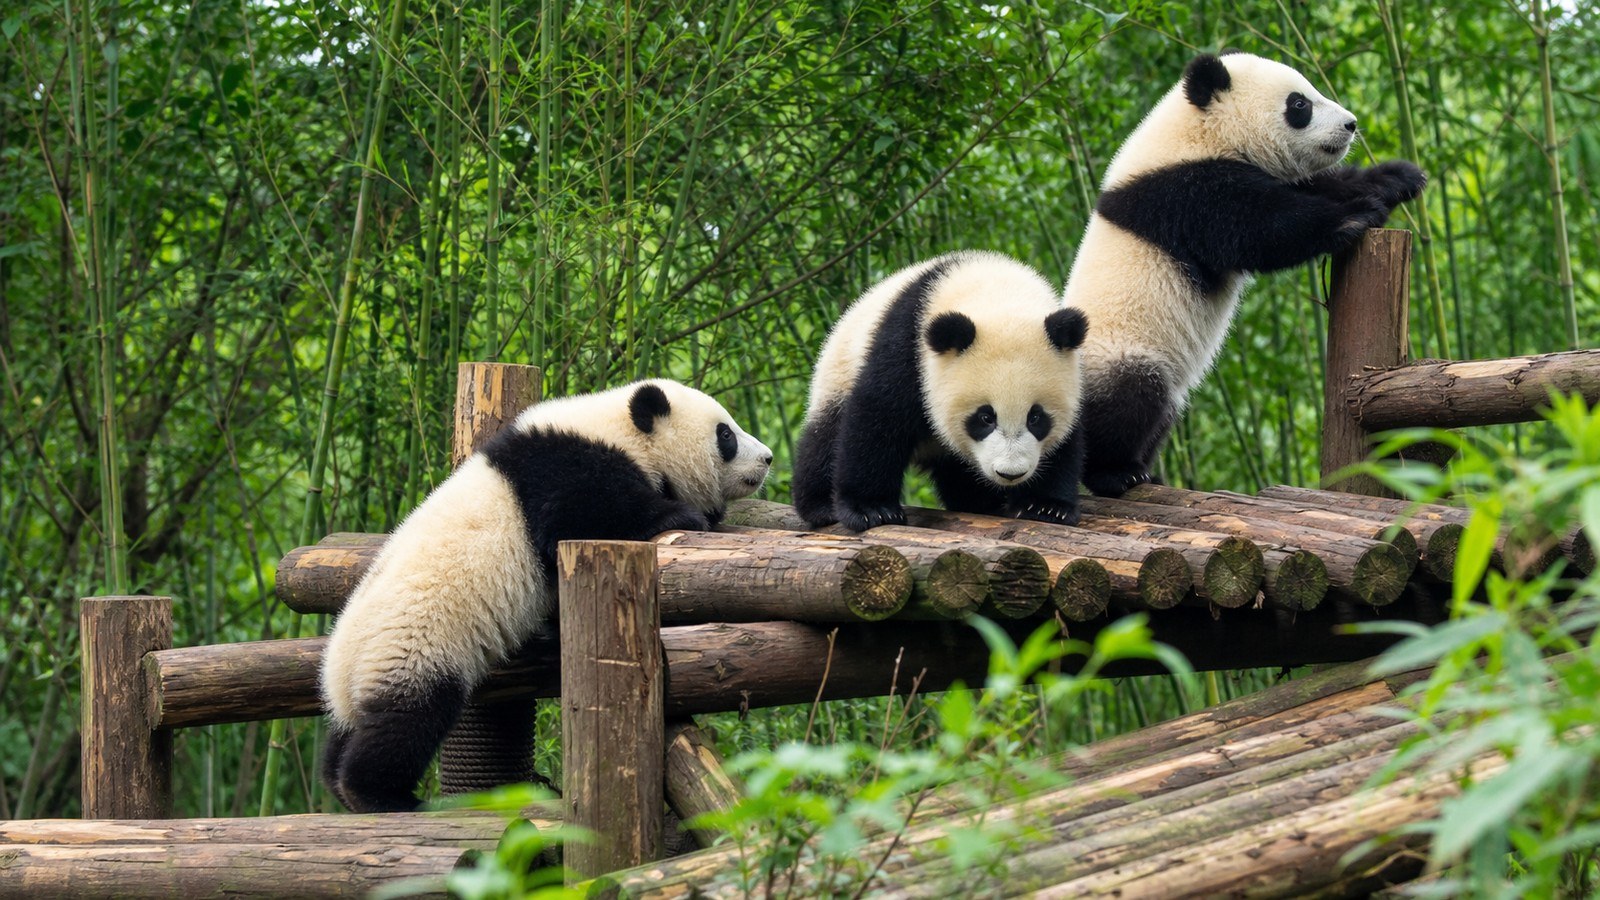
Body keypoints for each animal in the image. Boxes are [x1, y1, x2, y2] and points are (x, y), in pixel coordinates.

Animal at [319, 380, 772, 813]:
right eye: (726, 434)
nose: (767, 458)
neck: (618, 430)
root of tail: (338, 678)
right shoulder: (563, 471)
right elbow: (587, 519)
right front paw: (683, 515)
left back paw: (338, 782)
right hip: (415, 647)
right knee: (408, 721)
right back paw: (378, 794)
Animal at [793, 250, 1089, 532]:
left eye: (1036, 417)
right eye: (985, 417)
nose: (1010, 473)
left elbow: (1066, 443)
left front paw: (1046, 506)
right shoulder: (909, 346)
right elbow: (878, 416)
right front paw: (871, 509)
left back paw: (980, 502)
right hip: (838, 375)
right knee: (823, 439)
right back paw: (820, 506)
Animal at [1063, 51, 1427, 497]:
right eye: (1299, 104)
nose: (1351, 124)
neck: (1199, 132)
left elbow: (1318, 185)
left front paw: (1399, 177)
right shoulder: (1182, 192)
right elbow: (1259, 229)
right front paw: (1354, 216)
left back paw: (1146, 471)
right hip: (1120, 353)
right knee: (1126, 403)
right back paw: (1116, 473)